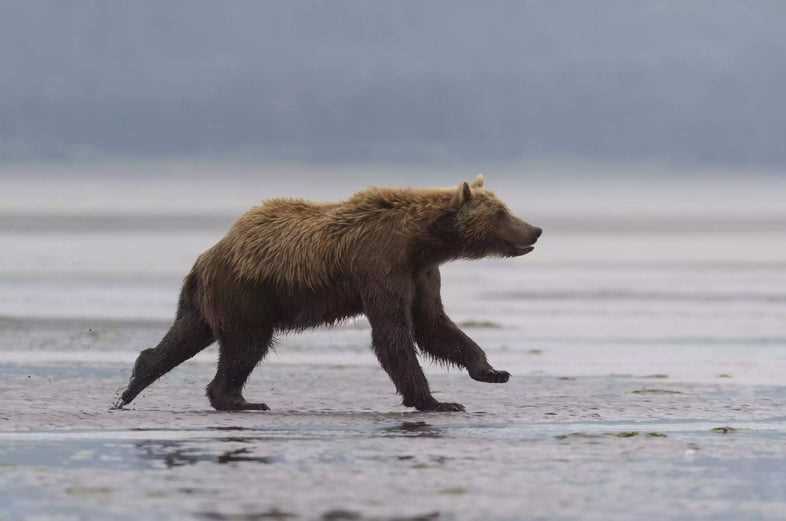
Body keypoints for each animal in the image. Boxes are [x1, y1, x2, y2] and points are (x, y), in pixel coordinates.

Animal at [116, 177, 540, 412]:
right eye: (501, 212)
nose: (535, 229)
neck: (421, 241)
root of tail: (208, 254)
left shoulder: (420, 274)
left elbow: (434, 324)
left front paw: (491, 371)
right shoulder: (380, 265)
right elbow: (394, 335)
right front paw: (437, 401)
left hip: (213, 298)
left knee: (186, 335)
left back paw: (135, 383)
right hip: (246, 293)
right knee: (246, 345)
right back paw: (240, 399)